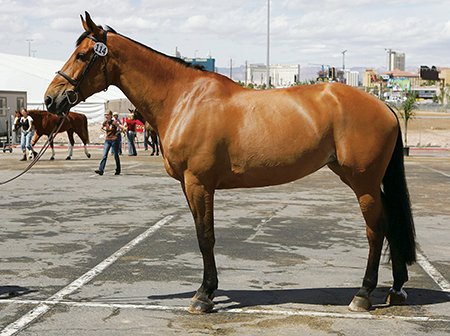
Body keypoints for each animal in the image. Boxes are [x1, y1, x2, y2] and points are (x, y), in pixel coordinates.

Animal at [44, 12, 414, 312]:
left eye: (82, 55)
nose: (51, 99)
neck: (184, 99)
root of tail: (384, 106)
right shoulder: (190, 185)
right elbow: (201, 233)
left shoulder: (199, 183)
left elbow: (205, 236)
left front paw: (204, 295)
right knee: (390, 224)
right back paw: (396, 288)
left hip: (363, 182)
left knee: (377, 229)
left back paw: (363, 294)